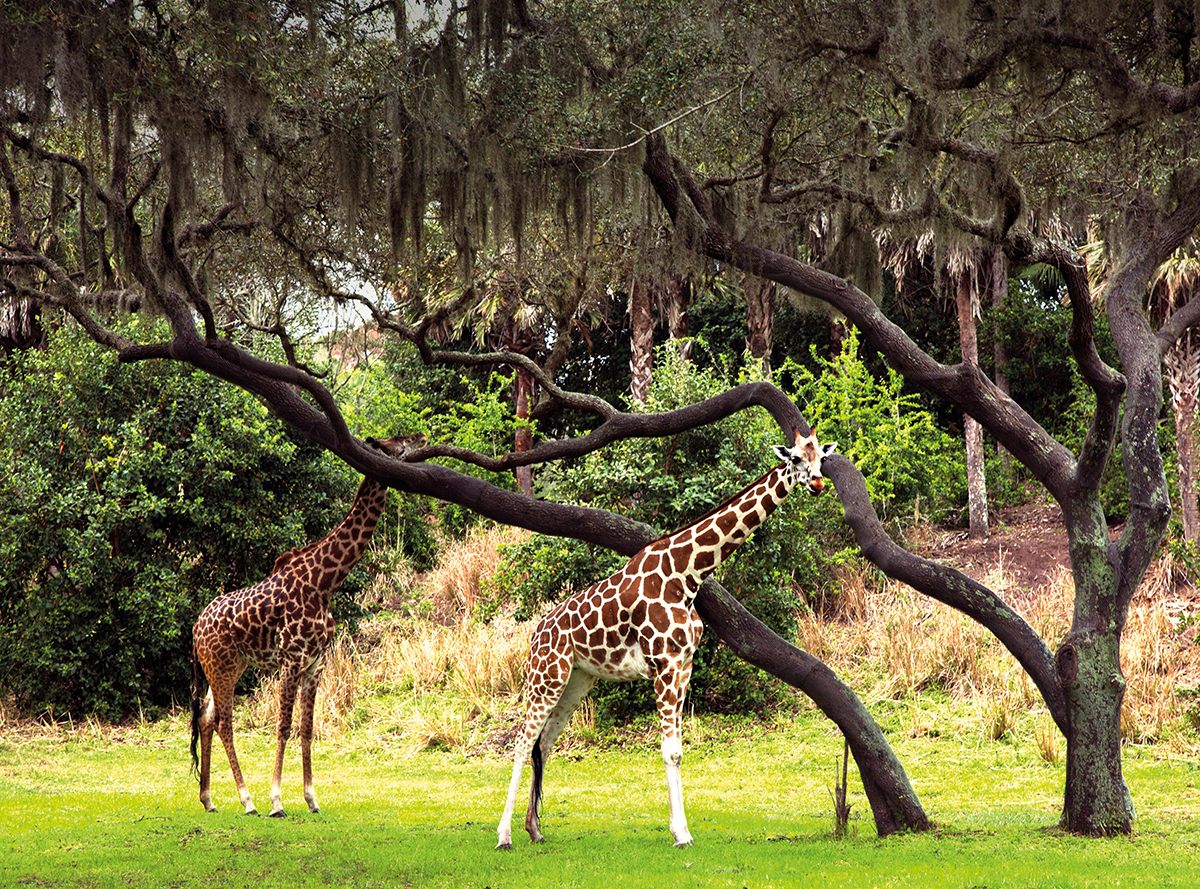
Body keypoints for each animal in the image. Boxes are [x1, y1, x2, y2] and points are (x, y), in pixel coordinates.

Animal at [189, 429, 429, 811]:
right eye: (398, 442)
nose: (421, 436)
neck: (326, 581)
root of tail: (195, 628)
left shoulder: (316, 662)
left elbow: (307, 728)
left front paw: (311, 798)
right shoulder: (291, 659)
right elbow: (284, 726)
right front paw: (276, 801)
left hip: (229, 666)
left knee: (206, 717)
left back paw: (209, 799)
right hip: (221, 667)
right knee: (224, 722)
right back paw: (247, 800)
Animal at [496, 427, 835, 844]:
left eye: (822, 458)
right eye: (796, 459)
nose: (817, 483)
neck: (687, 575)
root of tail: (535, 634)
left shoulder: (684, 665)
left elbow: (678, 750)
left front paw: (682, 829)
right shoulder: (664, 663)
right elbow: (668, 751)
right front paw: (681, 834)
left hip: (577, 679)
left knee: (542, 743)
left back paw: (535, 829)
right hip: (545, 676)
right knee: (521, 742)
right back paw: (504, 836)